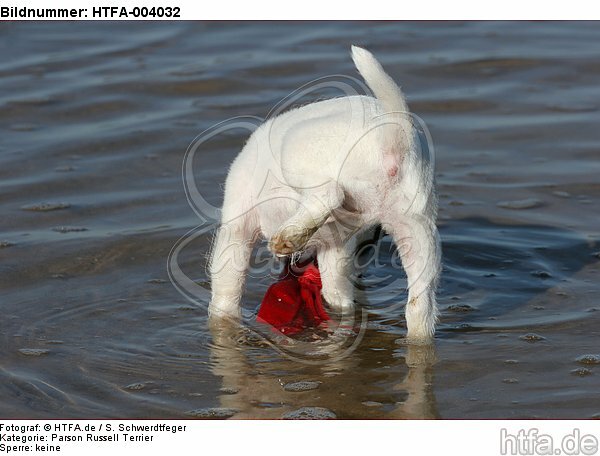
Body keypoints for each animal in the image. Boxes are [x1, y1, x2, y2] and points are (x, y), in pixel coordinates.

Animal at [210, 47, 440, 346]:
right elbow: (337, 295)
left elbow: (225, 291)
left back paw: (288, 237)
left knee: (328, 193)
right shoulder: (337, 248)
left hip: (296, 152)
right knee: (420, 308)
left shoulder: (237, 226)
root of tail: (393, 136)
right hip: (416, 230)